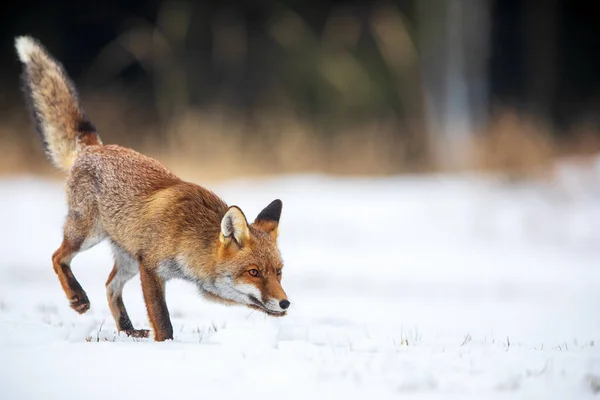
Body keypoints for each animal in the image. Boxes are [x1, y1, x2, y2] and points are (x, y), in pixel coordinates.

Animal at [15, 36, 290, 340]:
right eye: (254, 272)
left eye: (278, 272)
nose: (285, 302)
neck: (187, 235)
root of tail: (92, 147)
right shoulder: (150, 268)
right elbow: (163, 319)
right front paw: (166, 345)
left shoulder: (192, 280)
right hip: (86, 235)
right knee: (58, 257)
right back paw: (78, 297)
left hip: (126, 258)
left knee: (110, 286)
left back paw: (128, 330)